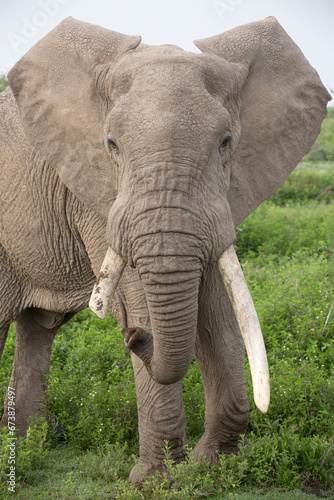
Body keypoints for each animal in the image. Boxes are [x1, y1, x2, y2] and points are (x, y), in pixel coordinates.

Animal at [0, 16, 328, 484]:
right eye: (111, 144)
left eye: (226, 142)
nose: (134, 335)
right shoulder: (96, 191)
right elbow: (139, 293)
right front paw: (157, 481)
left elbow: (214, 305)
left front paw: (215, 465)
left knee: (38, 329)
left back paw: (31, 444)